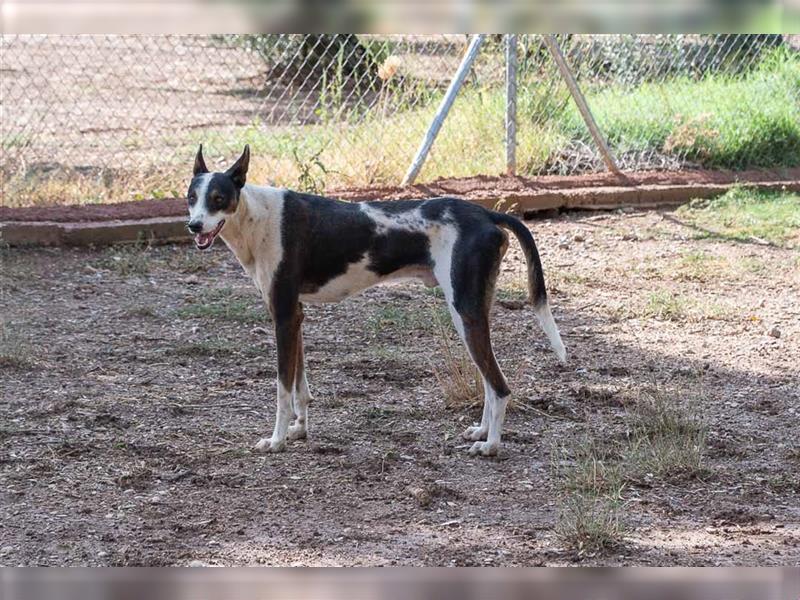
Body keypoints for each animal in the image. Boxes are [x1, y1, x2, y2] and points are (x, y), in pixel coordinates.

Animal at [185, 148, 564, 458]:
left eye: (218, 198)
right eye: (191, 197)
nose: (193, 226)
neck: (257, 217)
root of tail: (485, 214)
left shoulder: (283, 317)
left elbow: (282, 389)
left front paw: (276, 440)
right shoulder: (296, 317)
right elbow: (299, 387)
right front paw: (299, 430)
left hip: (466, 313)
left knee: (499, 386)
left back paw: (492, 445)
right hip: (468, 314)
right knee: (488, 380)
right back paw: (482, 431)